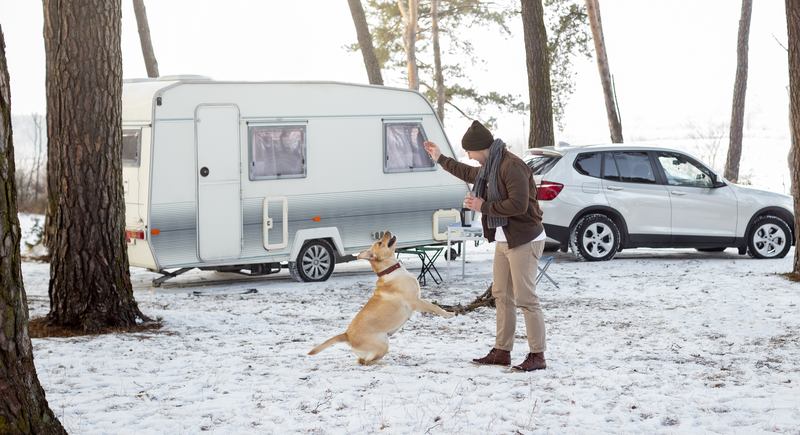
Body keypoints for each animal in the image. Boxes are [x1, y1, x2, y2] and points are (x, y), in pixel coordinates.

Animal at [308, 232, 454, 364]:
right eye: (379, 242)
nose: (386, 231)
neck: (390, 270)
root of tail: (347, 335)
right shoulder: (416, 301)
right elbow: (435, 307)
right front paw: (449, 314)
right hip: (383, 343)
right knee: (367, 362)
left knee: (361, 360)